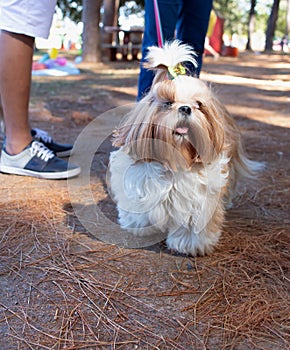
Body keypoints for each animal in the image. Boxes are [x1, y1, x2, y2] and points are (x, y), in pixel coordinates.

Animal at [108, 41, 260, 256]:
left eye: (198, 105)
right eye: (168, 103)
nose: (185, 108)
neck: (174, 159)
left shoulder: (199, 200)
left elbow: (192, 225)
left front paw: (188, 245)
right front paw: (138, 227)